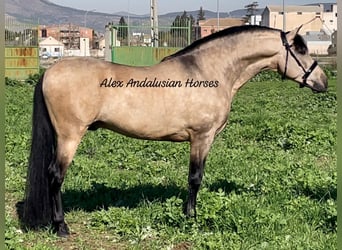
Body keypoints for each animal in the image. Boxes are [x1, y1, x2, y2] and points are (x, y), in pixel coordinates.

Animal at [22, 25, 328, 236]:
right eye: (301, 50)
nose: (323, 82)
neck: (209, 71)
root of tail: (50, 72)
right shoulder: (201, 138)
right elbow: (195, 179)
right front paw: (191, 217)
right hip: (69, 137)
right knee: (55, 176)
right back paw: (61, 226)